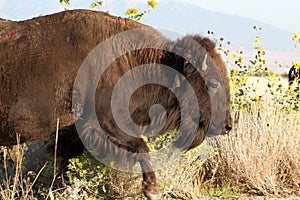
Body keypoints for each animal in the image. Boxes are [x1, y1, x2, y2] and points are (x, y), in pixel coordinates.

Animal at [0, 10, 232, 199]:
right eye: (212, 83)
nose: (227, 125)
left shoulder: (74, 133)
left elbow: (65, 161)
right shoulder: (106, 122)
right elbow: (141, 147)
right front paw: (151, 190)